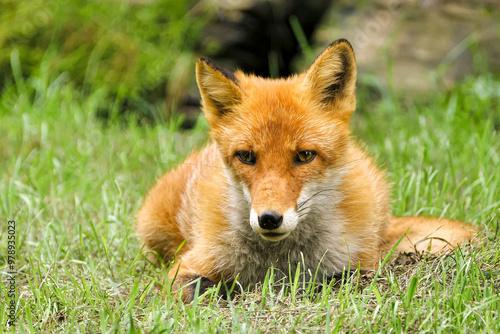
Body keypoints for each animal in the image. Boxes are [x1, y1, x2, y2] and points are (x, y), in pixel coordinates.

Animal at [137, 37, 476, 302]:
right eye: (246, 156)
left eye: (305, 156)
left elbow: (335, 280)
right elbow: (208, 289)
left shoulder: (361, 264)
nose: (269, 219)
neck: (279, 262)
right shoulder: (188, 266)